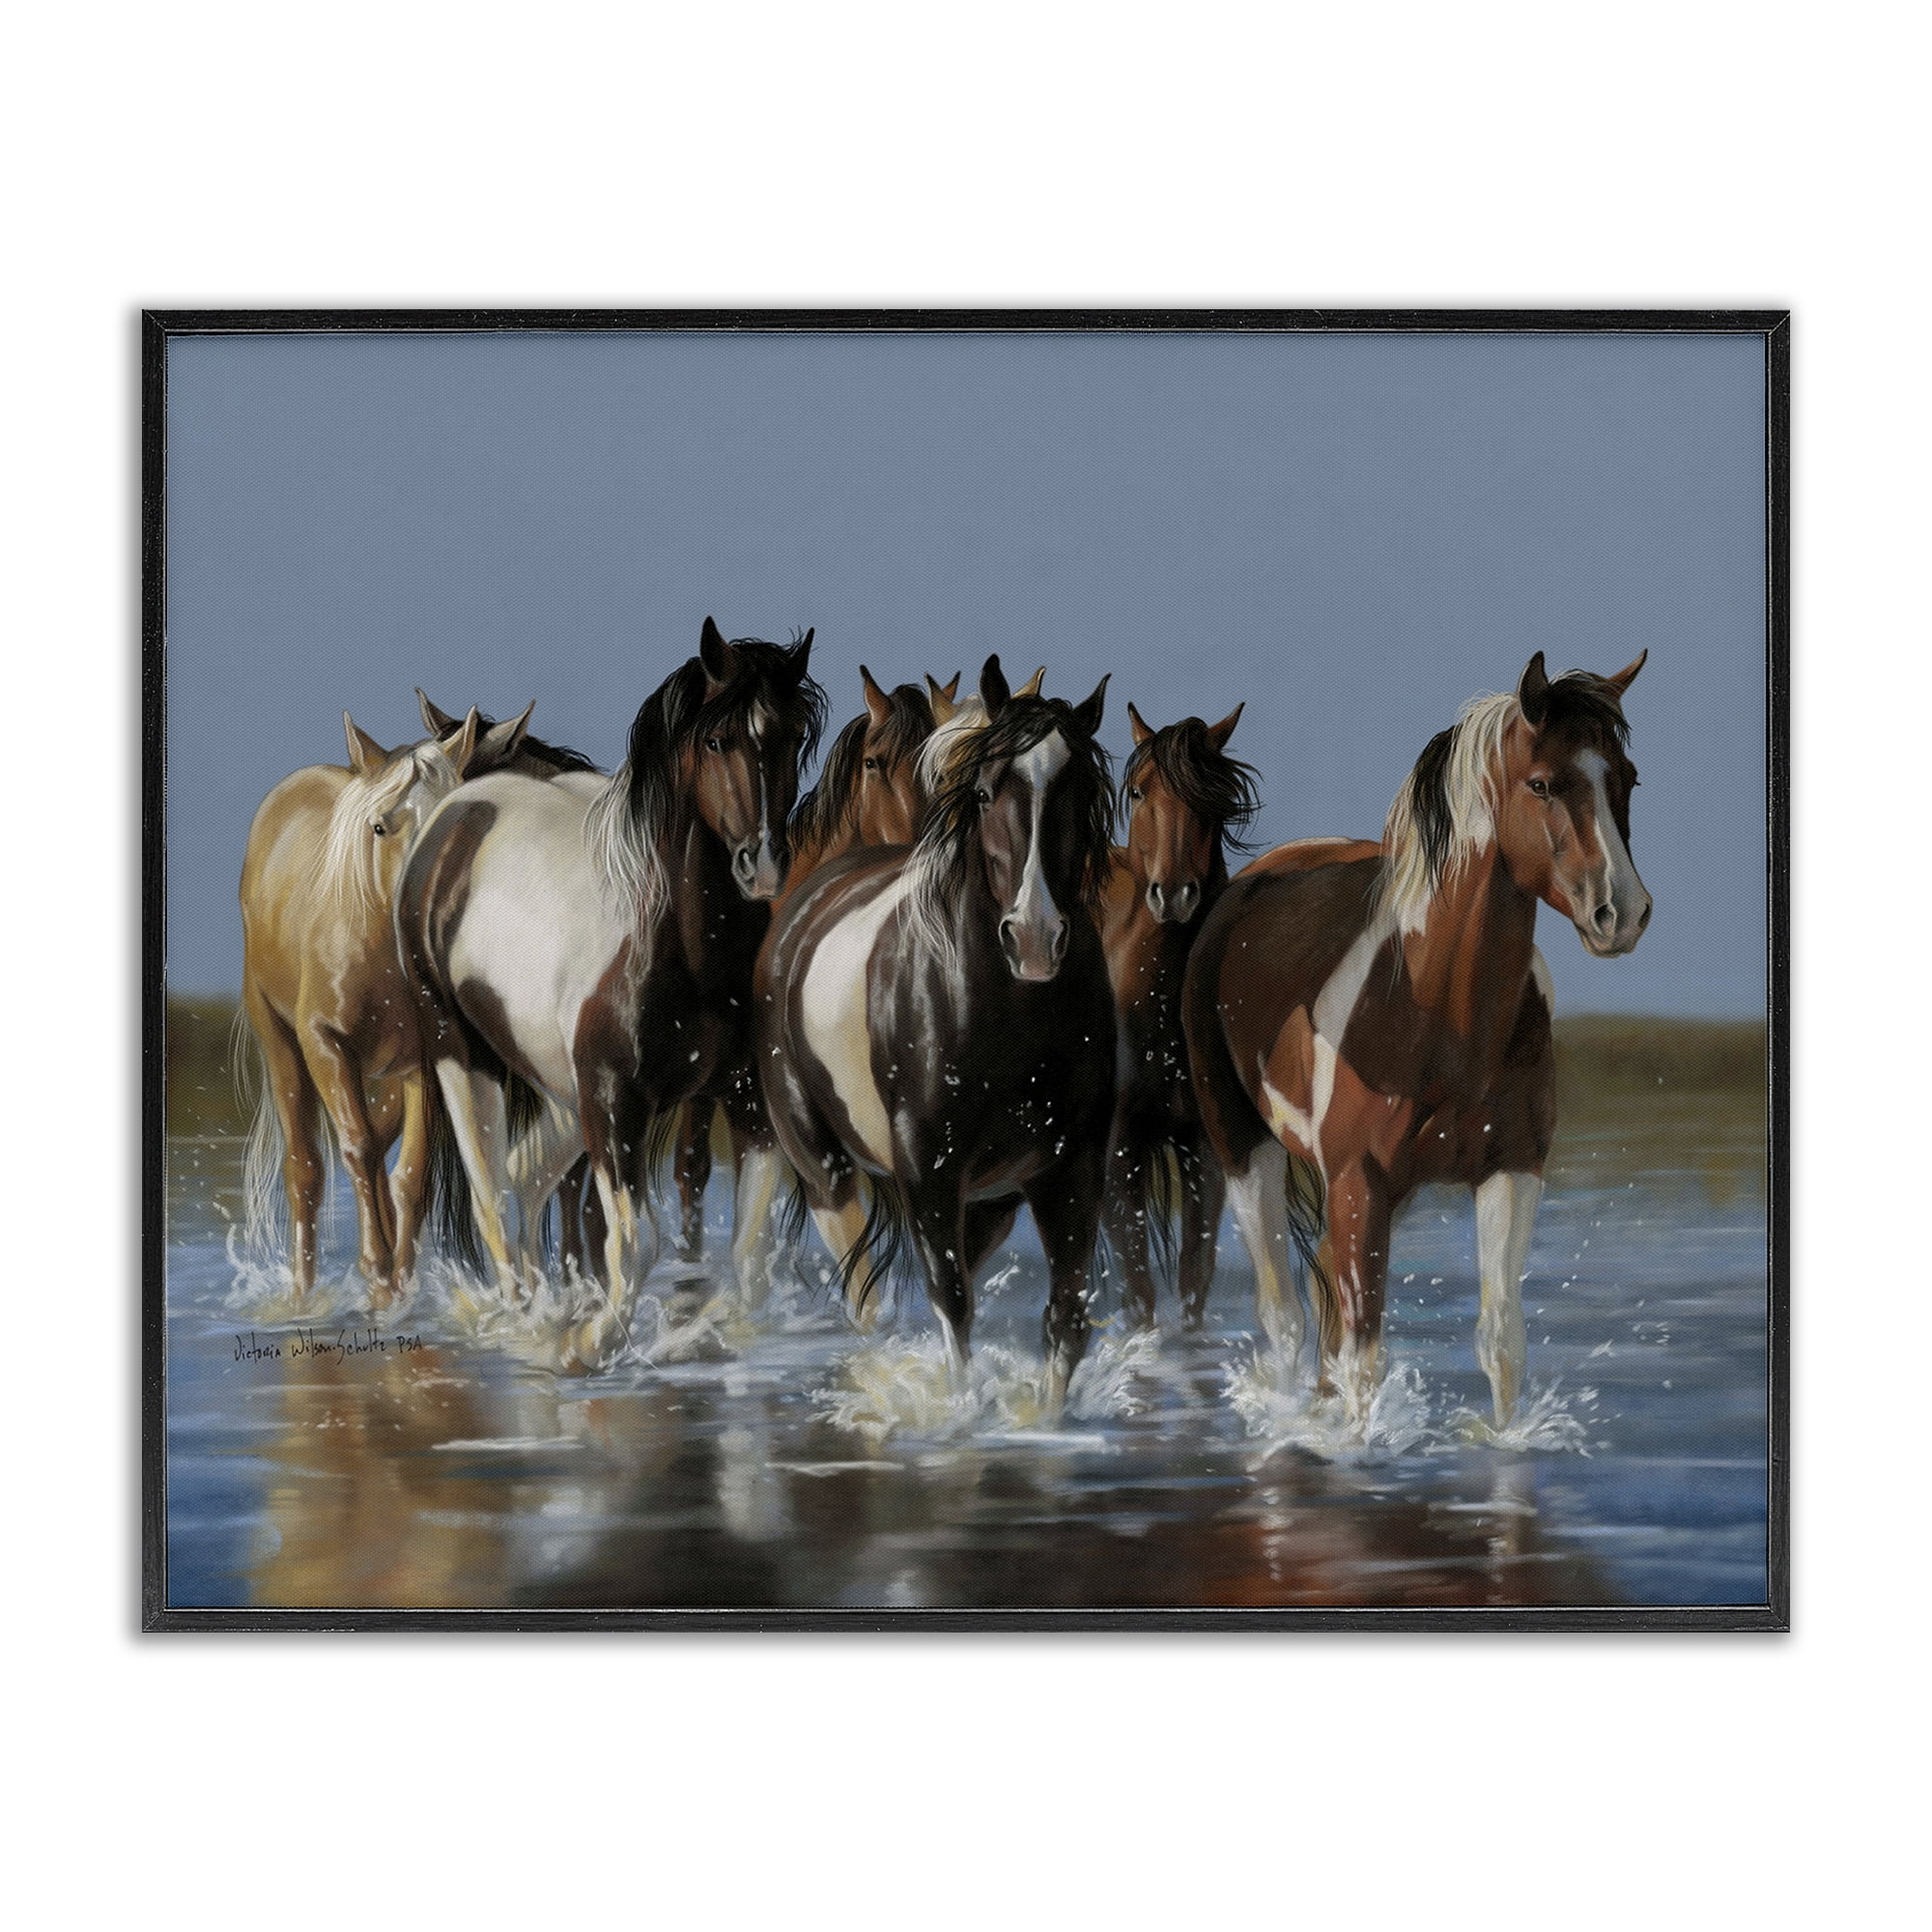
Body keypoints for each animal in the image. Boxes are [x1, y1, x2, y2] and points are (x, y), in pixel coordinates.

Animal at [237, 701, 555, 1304]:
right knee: (306, 1168)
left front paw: (397, 1285)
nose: (424, 900)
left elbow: (412, 1174)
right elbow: (357, 1149)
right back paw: (303, 1293)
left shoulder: (428, 1058)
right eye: (380, 827)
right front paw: (379, 1269)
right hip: (281, 1041)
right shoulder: (326, 1045)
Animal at [395, 619, 824, 1361]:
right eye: (717, 740)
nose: (763, 864)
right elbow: (633, 1242)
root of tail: (451, 820)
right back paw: (523, 1322)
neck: (677, 948)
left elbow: (750, 1254)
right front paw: (588, 1344)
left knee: (522, 1178)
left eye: (794, 735)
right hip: (464, 1055)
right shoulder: (612, 1104)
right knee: (494, 1197)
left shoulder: (748, 1107)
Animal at [757, 656, 1117, 1411]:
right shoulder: (930, 1173)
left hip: (991, 1201)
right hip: (826, 1170)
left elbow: (1065, 1321)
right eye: (983, 792)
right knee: (866, 1300)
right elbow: (951, 1308)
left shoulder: (1070, 1170)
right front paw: (959, 1417)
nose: (1034, 938)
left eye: (1080, 793)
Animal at [1096, 700, 1259, 1330]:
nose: (1174, 895)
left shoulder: (1203, 1150)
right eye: (1140, 791)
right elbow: (1138, 1288)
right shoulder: (1118, 1154)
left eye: (1213, 800)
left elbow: (1194, 1277)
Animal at [1184, 651, 1651, 1431]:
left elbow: (1501, 1343)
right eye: (1542, 783)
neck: (1439, 1014)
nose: (1623, 913)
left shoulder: (1511, 1170)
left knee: (1322, 1302)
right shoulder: (1360, 1186)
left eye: (1628, 779)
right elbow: (1364, 1357)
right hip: (1246, 1150)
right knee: (1285, 1317)